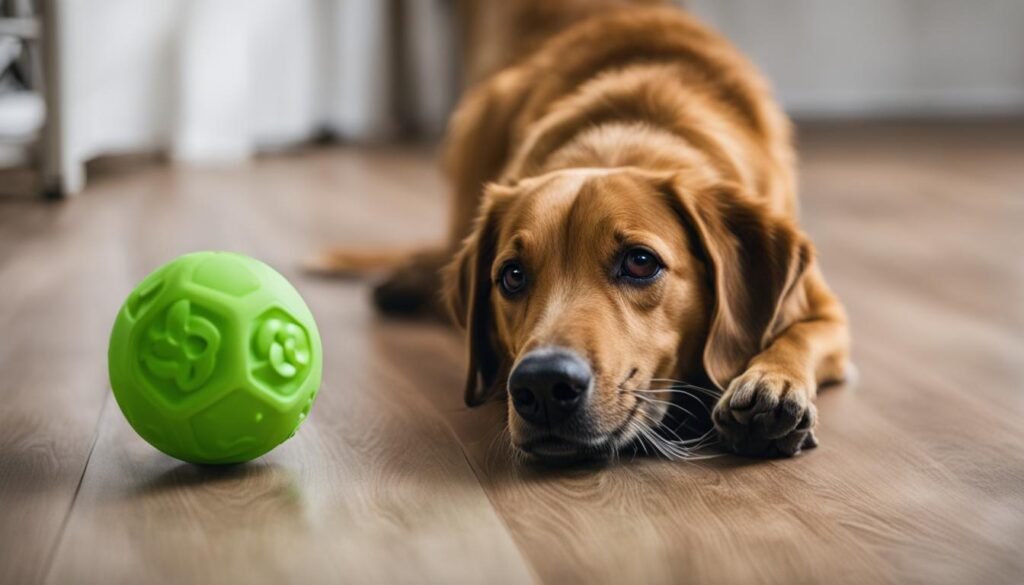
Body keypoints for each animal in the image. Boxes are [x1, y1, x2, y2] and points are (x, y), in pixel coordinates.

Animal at [315, 0, 851, 465]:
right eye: (512, 275)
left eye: (640, 262)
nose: (542, 384)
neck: (627, 135)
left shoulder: (827, 309)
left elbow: (800, 335)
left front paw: (769, 382)